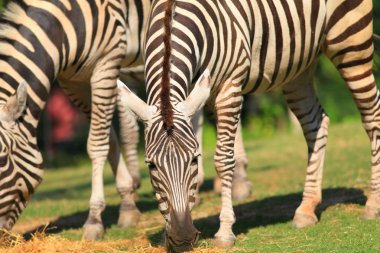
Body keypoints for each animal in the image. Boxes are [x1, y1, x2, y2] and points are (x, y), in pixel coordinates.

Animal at [0, 0, 152, 241]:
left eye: (3, 159)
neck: (60, 29)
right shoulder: (73, 81)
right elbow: (110, 141)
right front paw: (128, 206)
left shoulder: (105, 65)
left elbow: (96, 145)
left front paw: (94, 220)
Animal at [119, 0, 380, 250]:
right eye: (151, 165)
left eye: (194, 159)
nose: (182, 238)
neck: (171, 15)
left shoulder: (229, 87)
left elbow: (223, 160)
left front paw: (225, 232)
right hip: (298, 66)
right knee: (315, 123)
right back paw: (306, 208)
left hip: (350, 43)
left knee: (372, 115)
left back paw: (373, 204)